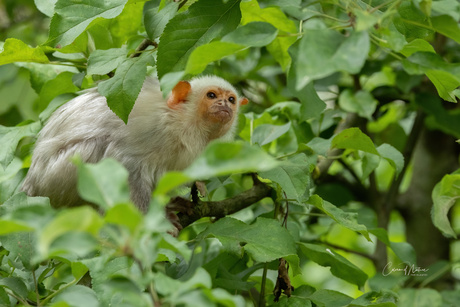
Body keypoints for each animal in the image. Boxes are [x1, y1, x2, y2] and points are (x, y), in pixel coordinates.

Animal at [22, 75, 248, 214]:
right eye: (212, 95)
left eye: (231, 99)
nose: (224, 105)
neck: (184, 122)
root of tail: (30, 183)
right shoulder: (152, 128)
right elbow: (125, 161)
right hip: (55, 177)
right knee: (98, 146)